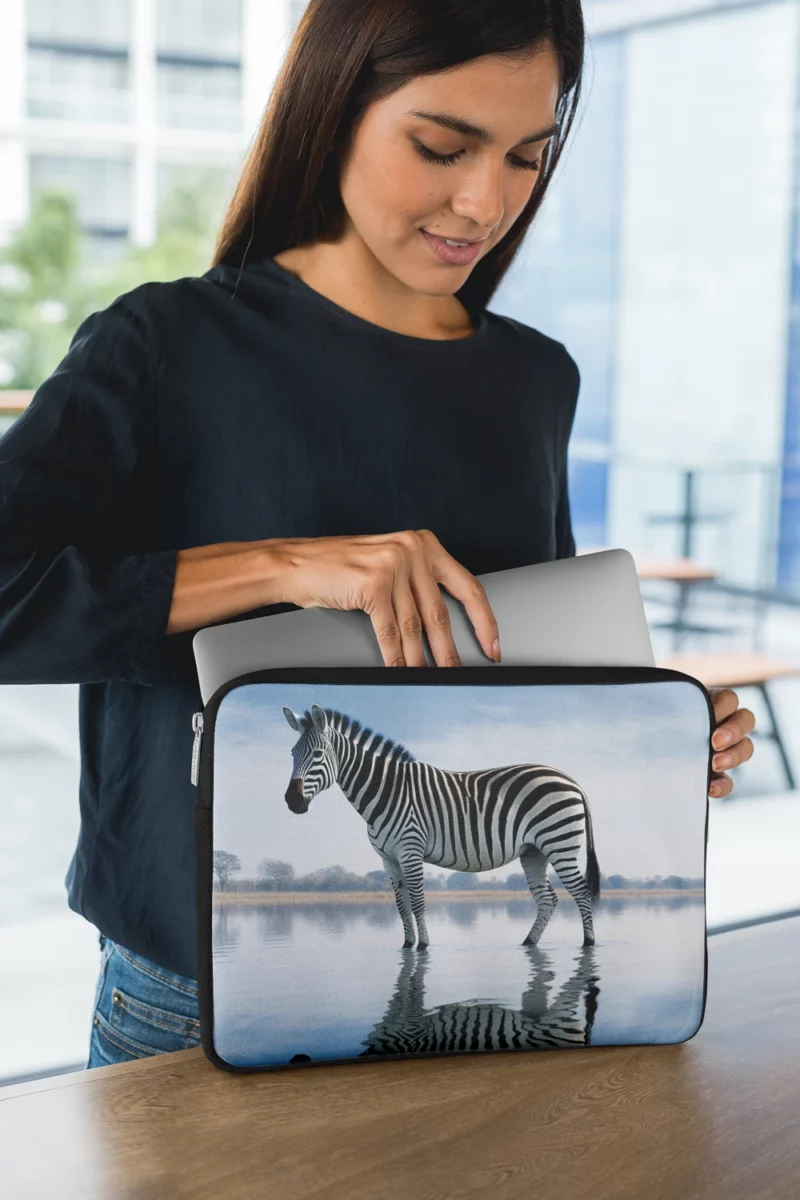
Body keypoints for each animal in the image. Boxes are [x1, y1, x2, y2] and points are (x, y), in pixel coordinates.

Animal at [283, 700, 599, 945]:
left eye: (317, 755)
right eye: (292, 754)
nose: (292, 801)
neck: (386, 792)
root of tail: (571, 780)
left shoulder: (410, 851)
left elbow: (418, 903)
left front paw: (423, 947)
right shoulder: (389, 860)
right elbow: (401, 906)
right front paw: (407, 945)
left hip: (559, 844)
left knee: (581, 892)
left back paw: (588, 943)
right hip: (533, 851)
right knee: (547, 900)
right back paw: (528, 943)